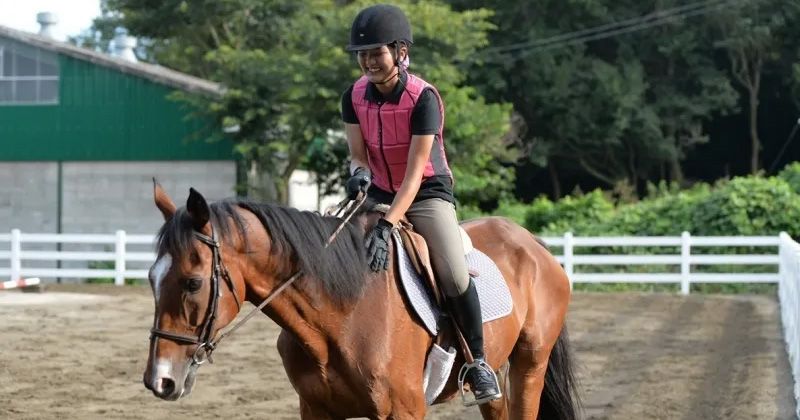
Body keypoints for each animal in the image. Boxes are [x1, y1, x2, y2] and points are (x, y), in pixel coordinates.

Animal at [144, 185, 580, 420]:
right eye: (151, 278)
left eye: (192, 283)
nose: (159, 381)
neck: (342, 314)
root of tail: (531, 241)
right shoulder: (316, 410)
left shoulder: (404, 411)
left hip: (529, 365)